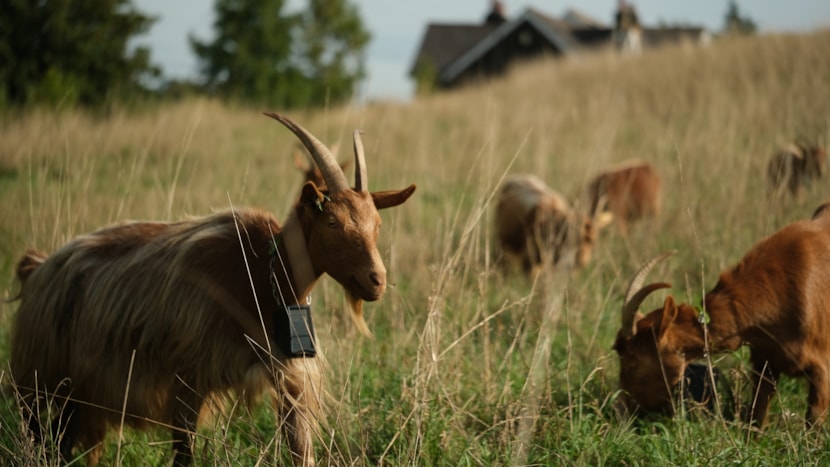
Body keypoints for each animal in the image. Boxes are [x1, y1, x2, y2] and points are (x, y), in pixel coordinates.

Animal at [10, 113, 416, 466]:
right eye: (331, 222)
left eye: (378, 224)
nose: (376, 279)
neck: (261, 273)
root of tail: (37, 267)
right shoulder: (188, 377)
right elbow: (184, 454)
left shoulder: (290, 379)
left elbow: (302, 451)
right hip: (39, 382)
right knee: (41, 437)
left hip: (83, 396)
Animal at [613, 208, 830, 428]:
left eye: (634, 361)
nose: (622, 411)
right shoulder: (765, 361)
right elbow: (757, 418)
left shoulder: (822, 370)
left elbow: (814, 422)